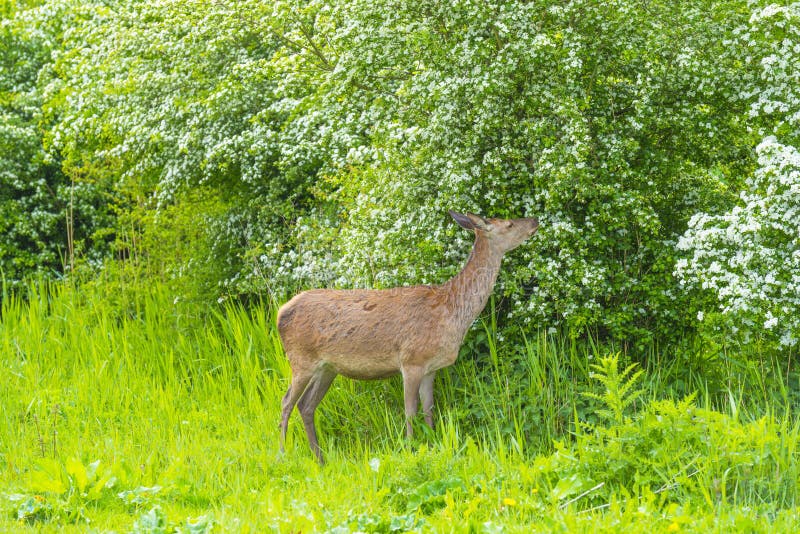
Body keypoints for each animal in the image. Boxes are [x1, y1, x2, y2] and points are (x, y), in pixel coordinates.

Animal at [277, 210, 540, 463]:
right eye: (508, 223)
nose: (535, 220)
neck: (452, 313)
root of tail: (280, 313)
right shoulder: (411, 360)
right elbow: (410, 412)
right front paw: (411, 449)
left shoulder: (431, 367)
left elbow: (429, 409)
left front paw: (433, 445)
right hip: (301, 360)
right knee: (287, 401)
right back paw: (282, 455)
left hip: (327, 368)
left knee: (306, 405)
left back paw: (320, 458)